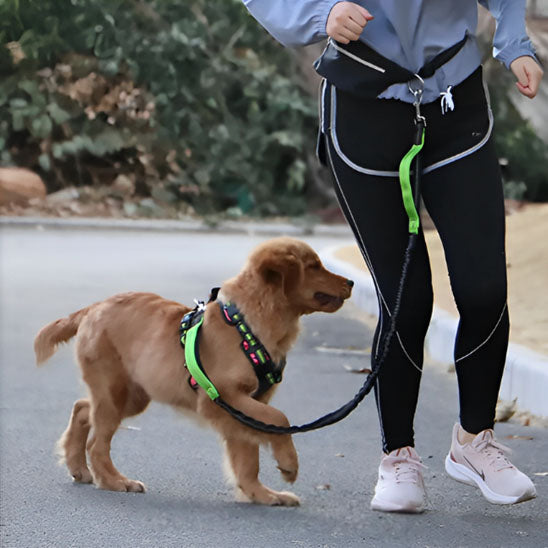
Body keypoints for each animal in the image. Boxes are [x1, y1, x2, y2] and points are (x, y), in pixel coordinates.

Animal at [36, 235, 358, 506]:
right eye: (314, 266)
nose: (352, 281)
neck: (247, 324)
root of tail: (94, 307)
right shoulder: (223, 397)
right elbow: (279, 418)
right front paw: (289, 465)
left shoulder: (247, 405)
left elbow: (248, 457)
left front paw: (261, 494)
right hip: (115, 390)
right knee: (97, 443)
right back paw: (115, 481)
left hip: (133, 393)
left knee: (82, 408)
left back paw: (79, 468)